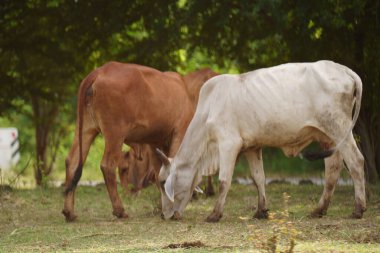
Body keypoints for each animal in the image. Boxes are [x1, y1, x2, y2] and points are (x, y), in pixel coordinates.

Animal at [62, 61, 217, 221]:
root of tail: (100, 71)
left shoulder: (155, 143)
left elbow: (160, 174)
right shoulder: (179, 133)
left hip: (86, 128)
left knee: (72, 162)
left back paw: (69, 212)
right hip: (115, 134)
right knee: (107, 166)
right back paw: (120, 210)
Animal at [157, 60, 366, 221]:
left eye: (163, 183)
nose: (165, 215)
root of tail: (345, 70)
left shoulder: (228, 144)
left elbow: (224, 180)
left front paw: (215, 214)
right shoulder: (252, 147)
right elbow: (259, 178)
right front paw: (261, 211)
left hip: (340, 129)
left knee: (356, 161)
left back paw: (358, 209)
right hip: (327, 137)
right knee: (333, 169)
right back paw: (319, 210)